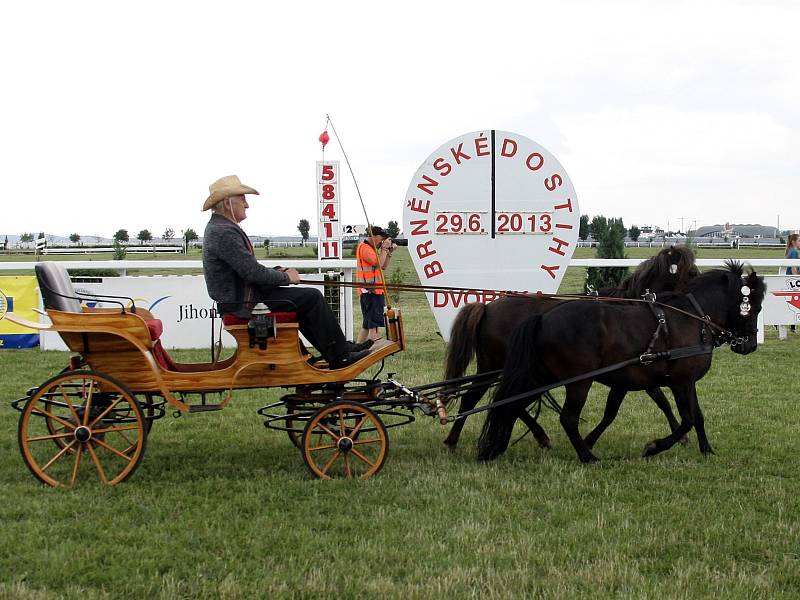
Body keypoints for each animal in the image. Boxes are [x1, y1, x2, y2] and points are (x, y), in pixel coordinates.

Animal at [444, 245, 700, 450]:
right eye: (691, 272)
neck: (629, 305)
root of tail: (487, 308)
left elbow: (660, 399)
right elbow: (660, 398)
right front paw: (680, 435)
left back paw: (539, 436)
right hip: (495, 367)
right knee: (474, 399)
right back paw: (452, 440)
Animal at [478, 262, 764, 464]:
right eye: (754, 307)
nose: (749, 345)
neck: (691, 318)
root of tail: (542, 318)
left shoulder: (664, 381)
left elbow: (697, 416)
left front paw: (706, 449)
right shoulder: (681, 382)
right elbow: (687, 419)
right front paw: (654, 447)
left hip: (541, 375)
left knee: (512, 404)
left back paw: (496, 447)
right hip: (578, 382)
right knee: (567, 418)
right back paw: (588, 458)